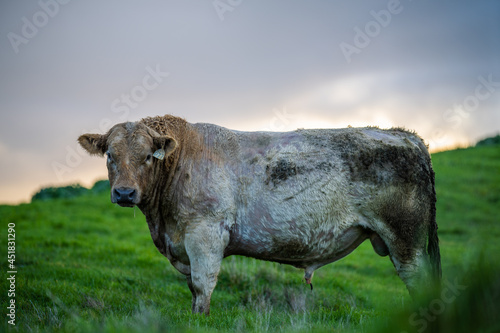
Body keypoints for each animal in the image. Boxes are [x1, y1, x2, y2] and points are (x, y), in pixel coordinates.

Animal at [76, 114, 440, 314]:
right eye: (109, 155)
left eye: (149, 156)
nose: (125, 193)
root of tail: (404, 134)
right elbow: (193, 289)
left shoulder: (205, 233)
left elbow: (202, 287)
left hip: (406, 240)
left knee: (422, 283)